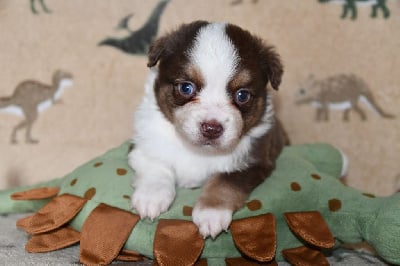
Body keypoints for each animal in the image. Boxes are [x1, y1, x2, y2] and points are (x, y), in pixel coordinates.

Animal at [130, 20, 290, 237]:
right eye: (186, 88)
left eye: (242, 95)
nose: (211, 128)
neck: (198, 150)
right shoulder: (142, 145)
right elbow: (156, 165)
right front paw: (151, 198)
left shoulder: (255, 160)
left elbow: (226, 181)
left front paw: (211, 213)